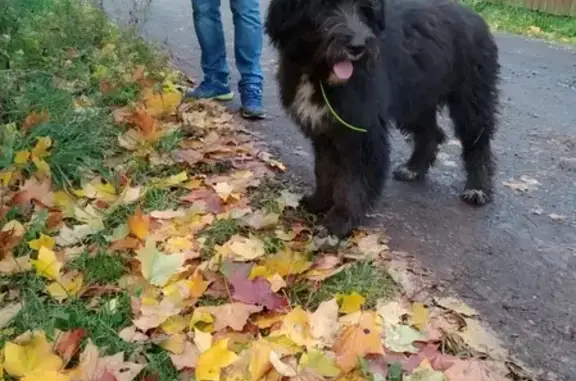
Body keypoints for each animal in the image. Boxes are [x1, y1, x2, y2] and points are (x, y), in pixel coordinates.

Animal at [266, 0, 500, 238]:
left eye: (364, 8)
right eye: (323, 6)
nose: (358, 47)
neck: (319, 74)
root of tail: (474, 16)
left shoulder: (363, 130)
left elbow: (354, 180)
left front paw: (341, 219)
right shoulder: (325, 130)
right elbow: (324, 169)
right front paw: (318, 202)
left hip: (471, 97)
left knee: (477, 141)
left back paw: (477, 187)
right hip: (415, 101)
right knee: (430, 132)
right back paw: (414, 168)